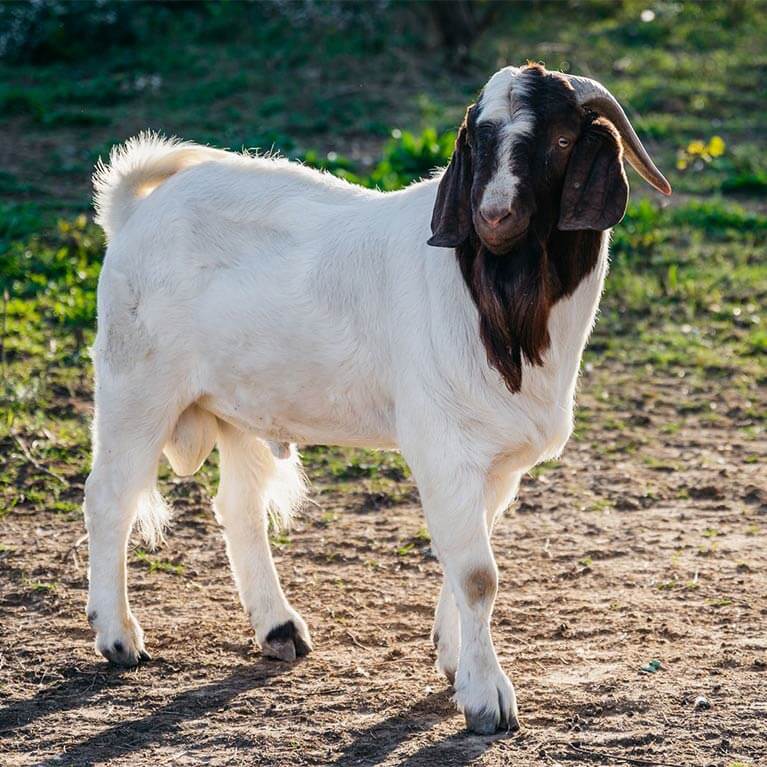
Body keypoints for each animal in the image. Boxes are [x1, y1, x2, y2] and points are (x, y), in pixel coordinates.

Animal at [85, 63, 670, 734]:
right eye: (478, 140)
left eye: (562, 139)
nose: (493, 216)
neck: (494, 298)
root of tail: (133, 210)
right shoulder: (443, 445)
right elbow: (478, 574)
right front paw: (486, 698)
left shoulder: (495, 462)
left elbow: (465, 559)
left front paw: (452, 660)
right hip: (136, 385)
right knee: (109, 497)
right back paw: (119, 638)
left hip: (238, 404)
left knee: (238, 508)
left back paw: (278, 629)